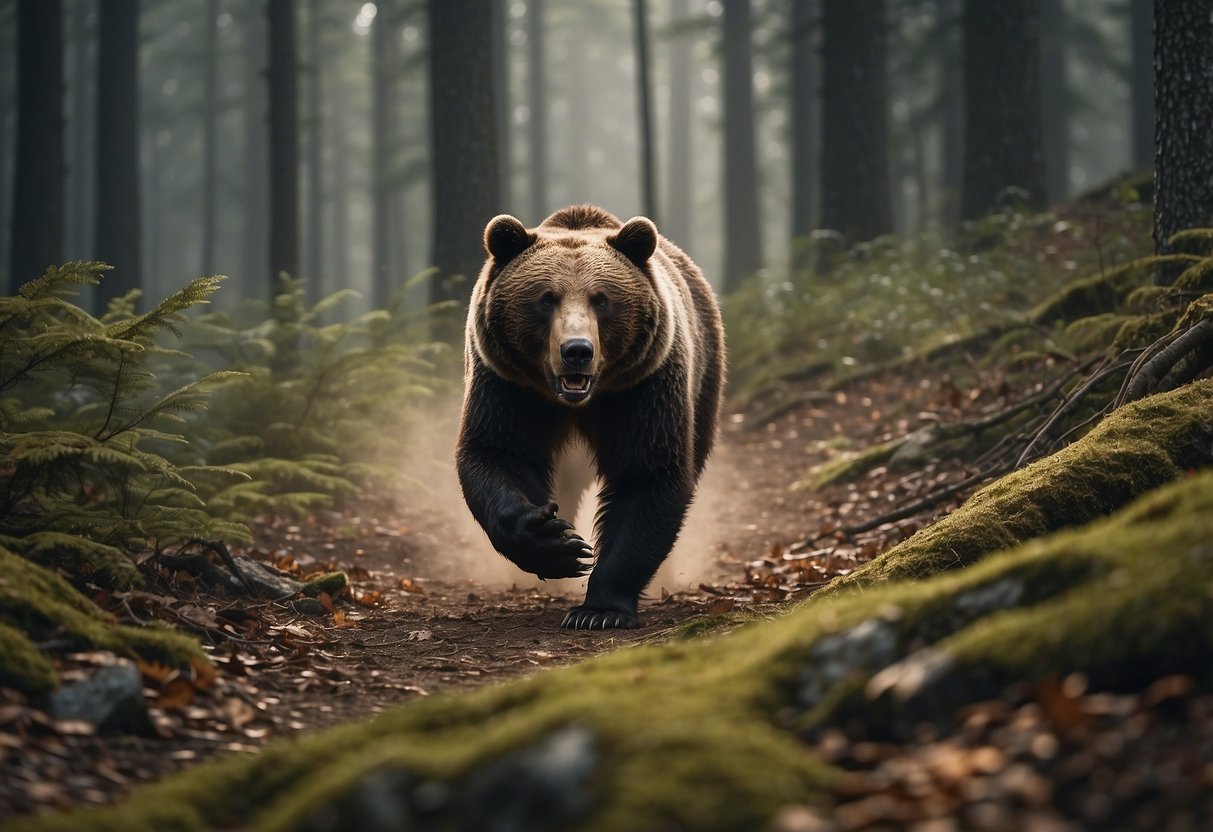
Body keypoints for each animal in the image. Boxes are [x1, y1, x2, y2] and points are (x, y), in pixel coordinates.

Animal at [453, 204, 718, 630]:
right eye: (546, 298)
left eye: (602, 299)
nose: (577, 350)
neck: (577, 400)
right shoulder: (508, 385)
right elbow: (498, 453)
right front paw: (554, 543)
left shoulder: (643, 388)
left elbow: (646, 474)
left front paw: (599, 610)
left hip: (703, 379)